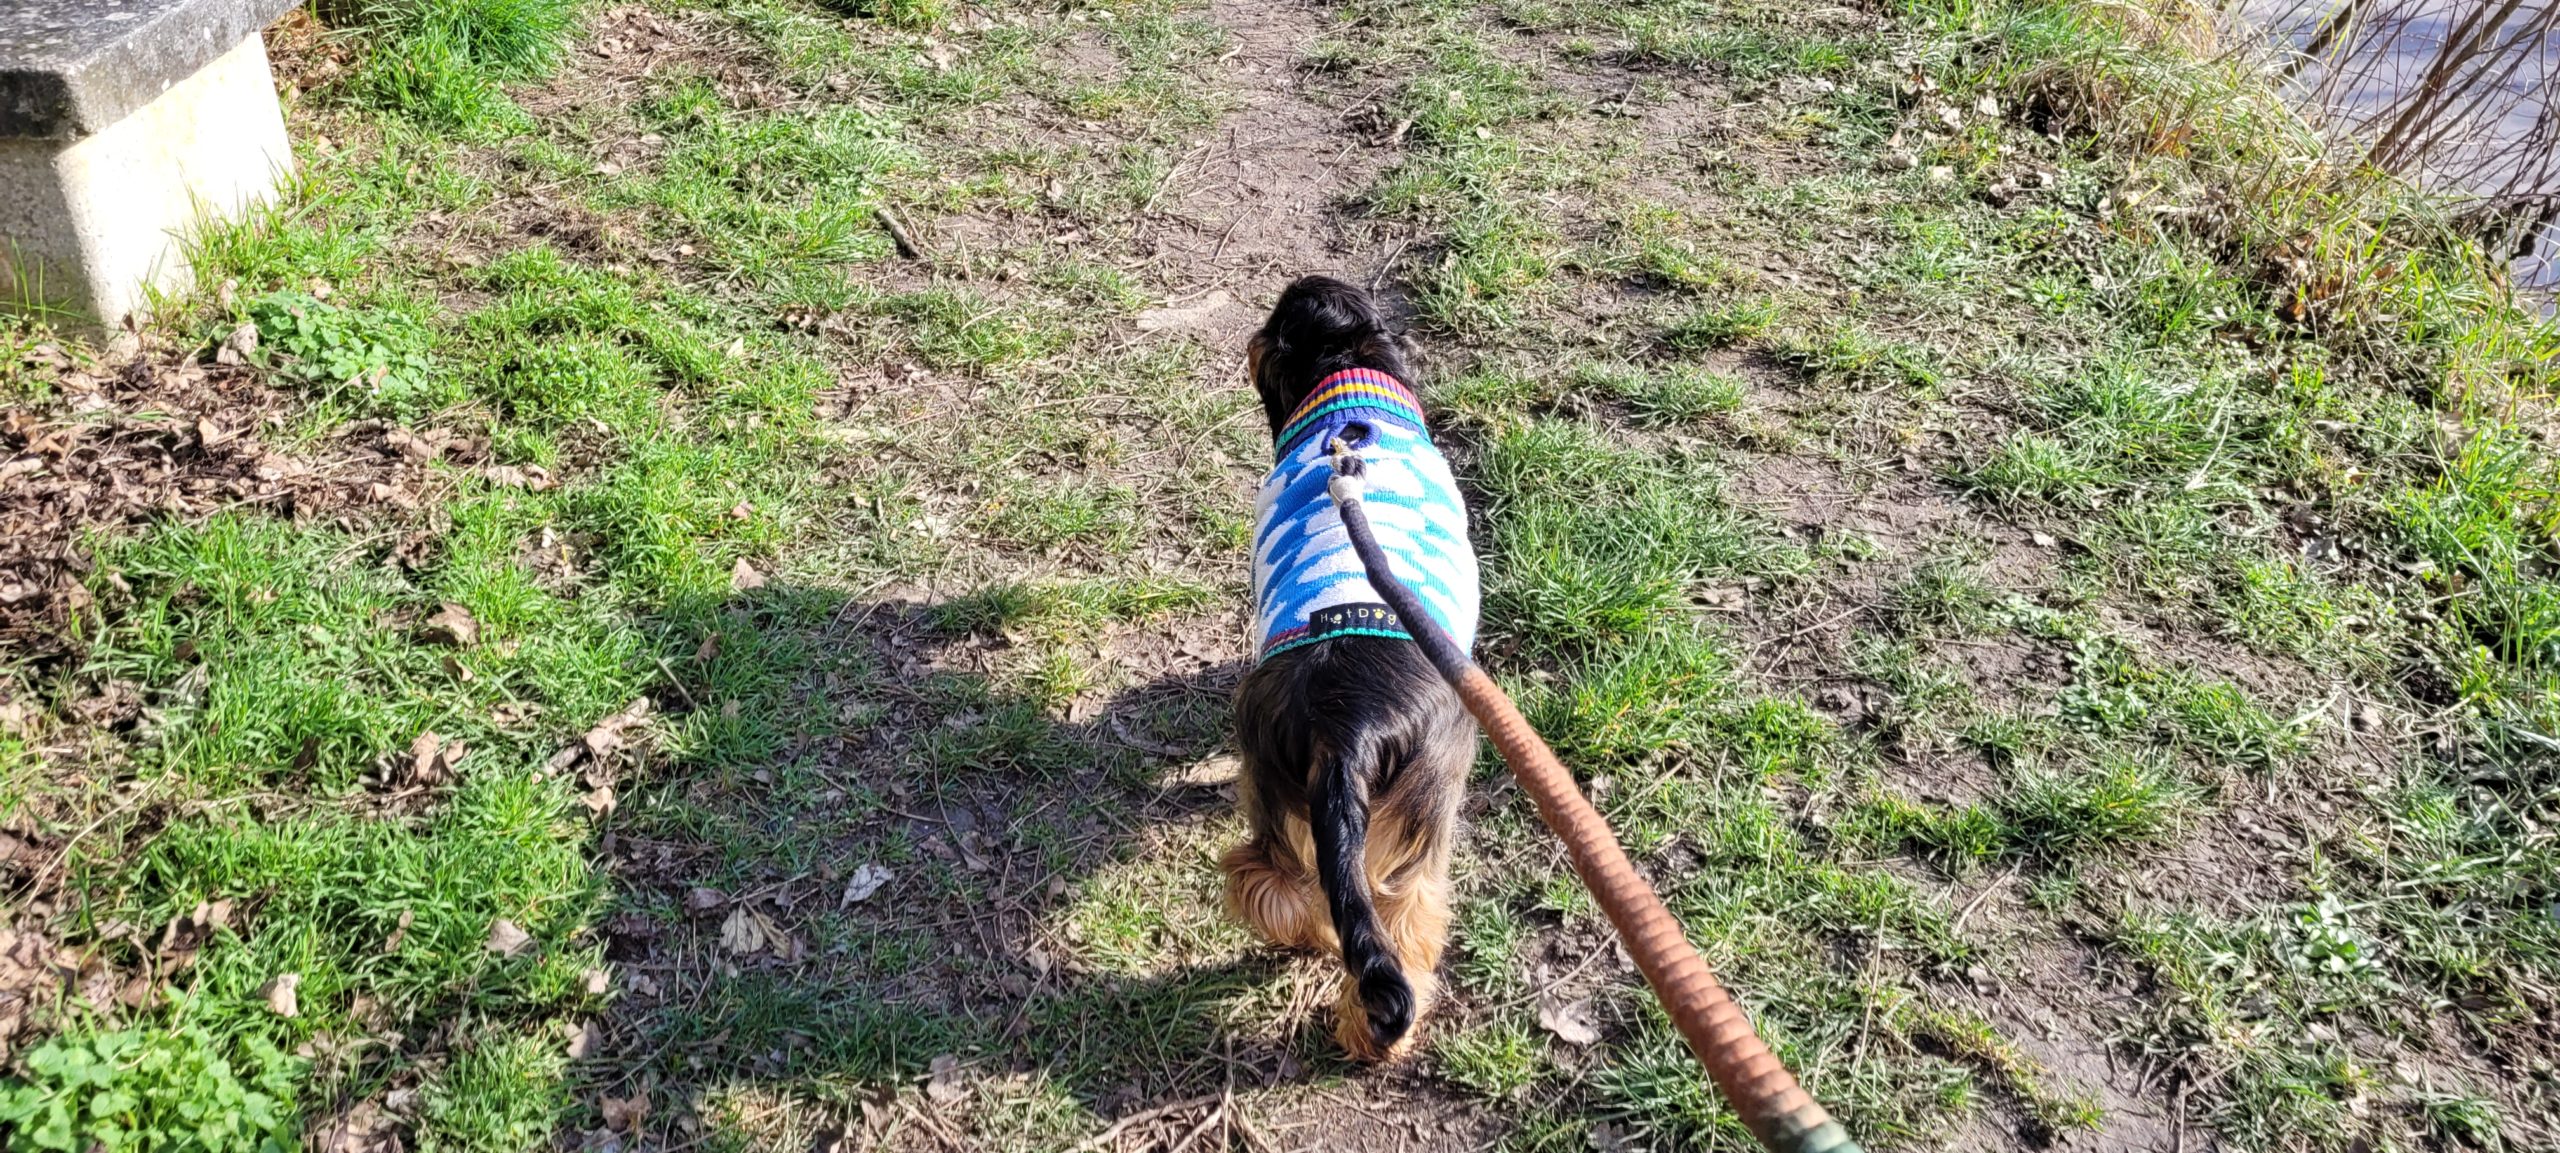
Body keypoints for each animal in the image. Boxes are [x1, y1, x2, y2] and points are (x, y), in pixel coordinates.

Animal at [1218, 276, 1484, 1060]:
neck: (1347, 397)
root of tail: (1349, 725)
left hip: (1275, 766)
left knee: (1281, 885)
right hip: (1431, 797)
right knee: (1393, 915)